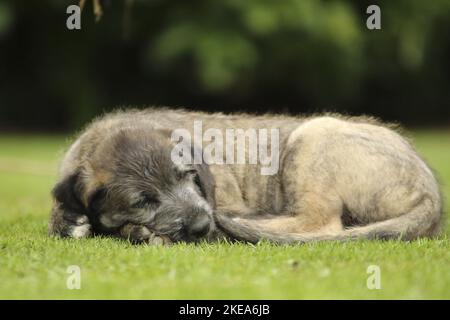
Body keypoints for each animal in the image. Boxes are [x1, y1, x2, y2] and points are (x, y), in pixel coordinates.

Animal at [47, 106, 442, 244]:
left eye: (189, 176)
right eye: (143, 201)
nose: (200, 226)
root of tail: (431, 193)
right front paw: (69, 221)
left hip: (314, 135)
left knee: (321, 223)